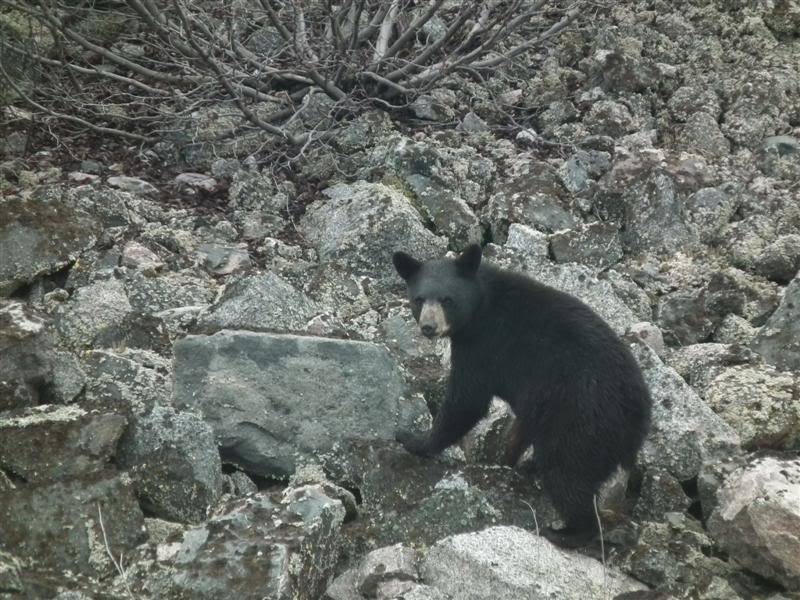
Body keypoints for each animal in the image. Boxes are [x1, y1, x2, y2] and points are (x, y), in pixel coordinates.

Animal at [394, 244, 648, 548]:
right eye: (419, 299)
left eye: (447, 299)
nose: (428, 327)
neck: (482, 304)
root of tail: (639, 417)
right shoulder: (535, 397)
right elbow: (520, 425)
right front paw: (508, 459)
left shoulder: (483, 346)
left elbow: (466, 401)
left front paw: (414, 440)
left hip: (583, 420)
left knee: (567, 475)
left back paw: (566, 532)